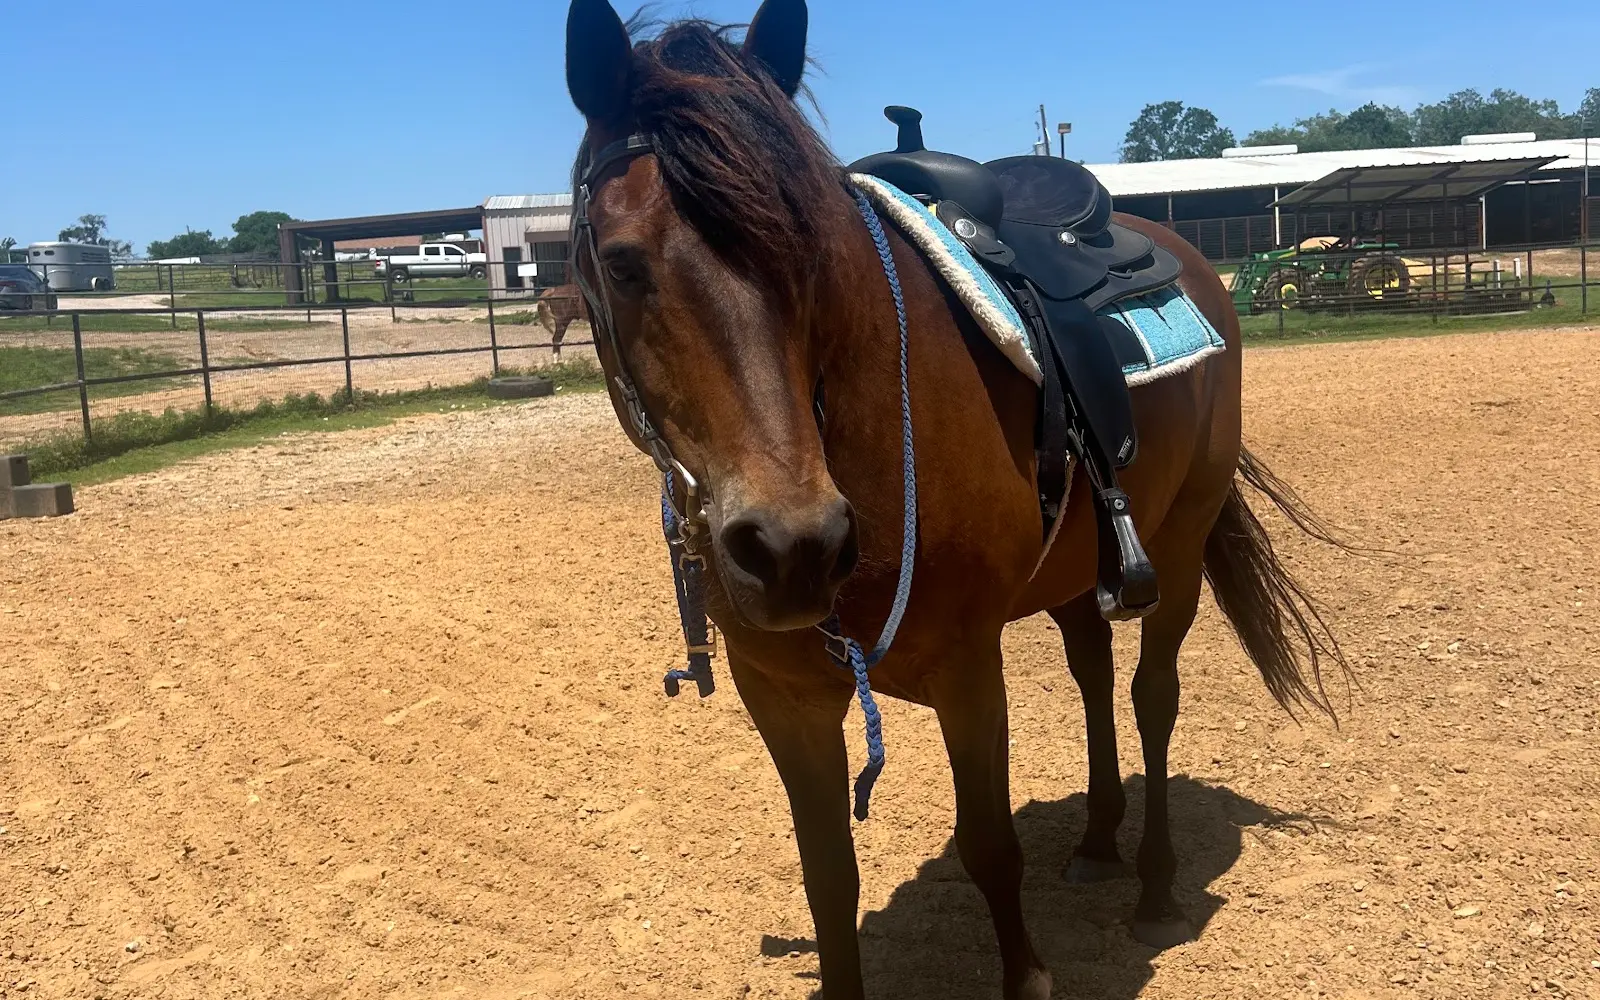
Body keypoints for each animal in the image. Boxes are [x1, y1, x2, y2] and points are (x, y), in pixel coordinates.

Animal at [563, 2, 1348, 997]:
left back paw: (1156, 888)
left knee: (1150, 694)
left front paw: (1030, 973)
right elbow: (828, 877)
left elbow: (989, 847)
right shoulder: (781, 696)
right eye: (622, 264)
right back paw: (1098, 842)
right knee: (1095, 675)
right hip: (1076, 569)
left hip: (1177, 543)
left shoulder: (970, 669)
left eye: (808, 252)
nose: (793, 546)